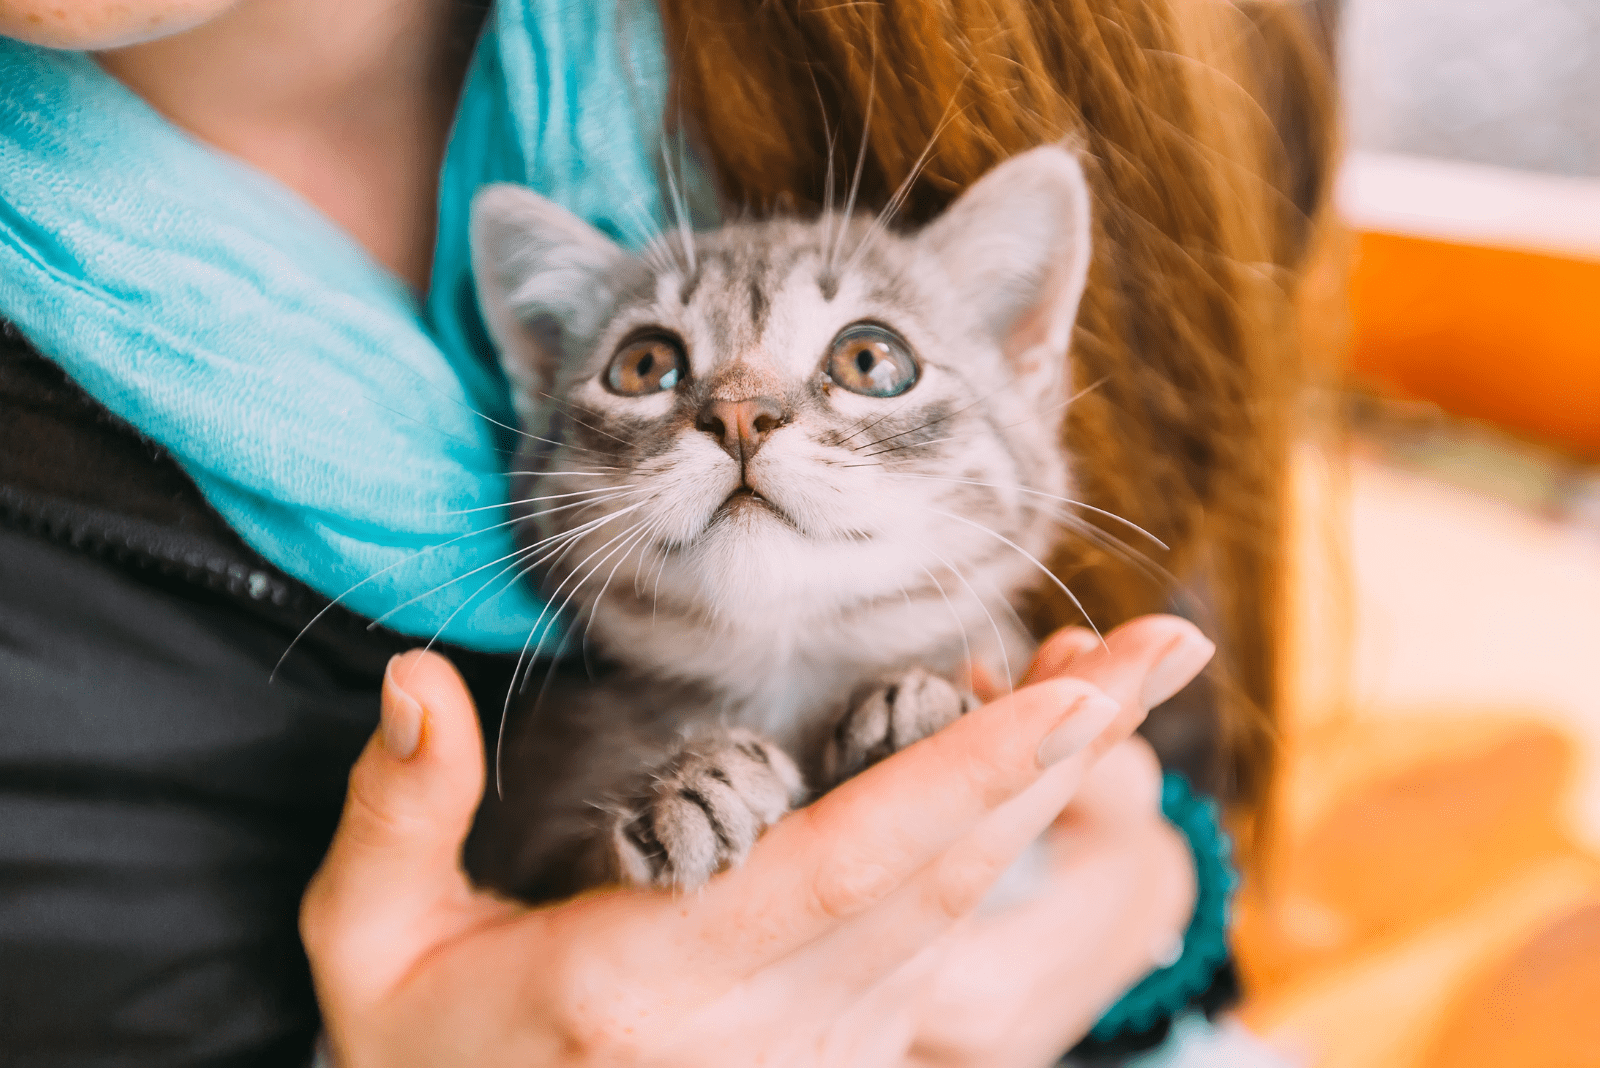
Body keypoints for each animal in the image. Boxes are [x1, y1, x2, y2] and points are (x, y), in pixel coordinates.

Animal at [460, 143, 1088, 901]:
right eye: (643, 365)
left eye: (870, 360)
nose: (738, 414)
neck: (784, 667)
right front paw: (685, 786)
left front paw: (921, 705)